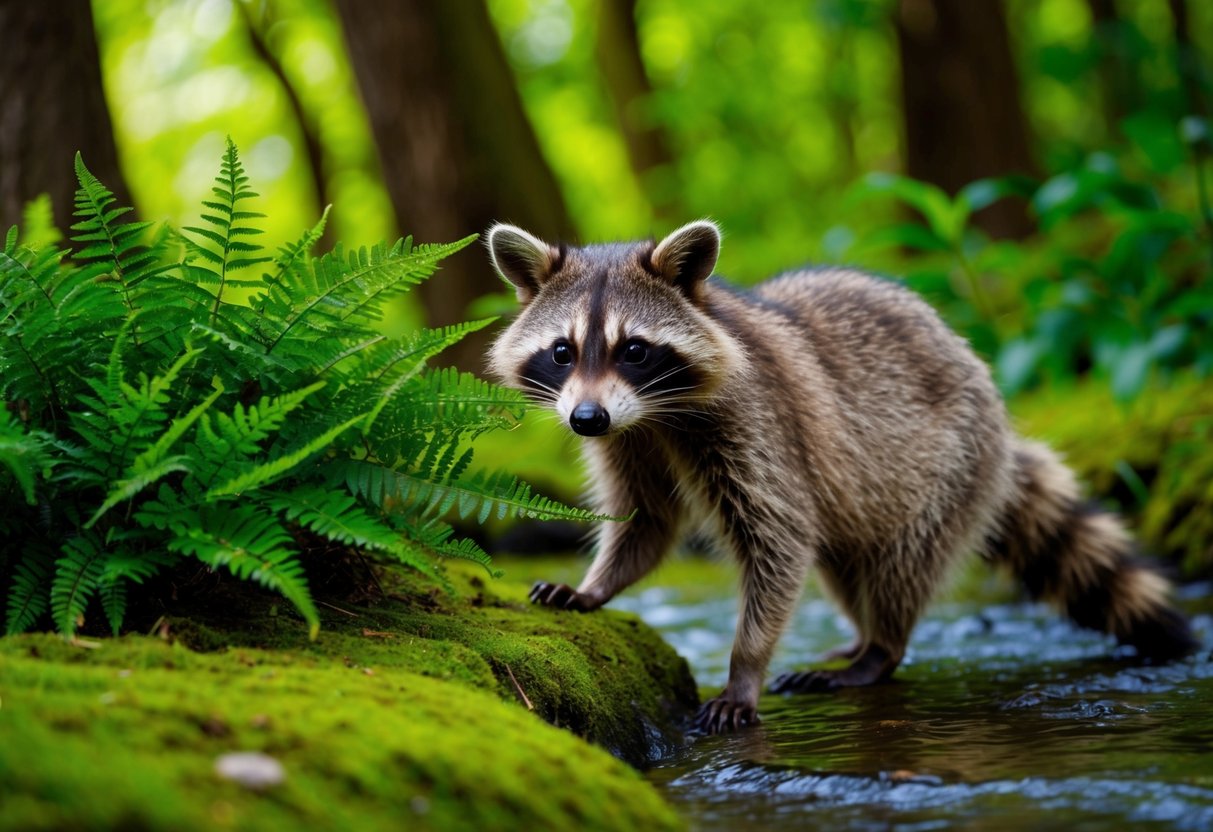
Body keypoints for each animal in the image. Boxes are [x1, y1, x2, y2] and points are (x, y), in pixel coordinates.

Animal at [485, 220, 1197, 734]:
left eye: (634, 349)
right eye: (562, 351)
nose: (585, 419)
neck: (656, 413)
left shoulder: (759, 425)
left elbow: (778, 539)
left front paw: (743, 667)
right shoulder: (630, 439)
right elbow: (647, 520)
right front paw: (597, 584)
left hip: (951, 465)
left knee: (900, 565)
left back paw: (881, 649)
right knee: (847, 563)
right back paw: (859, 638)